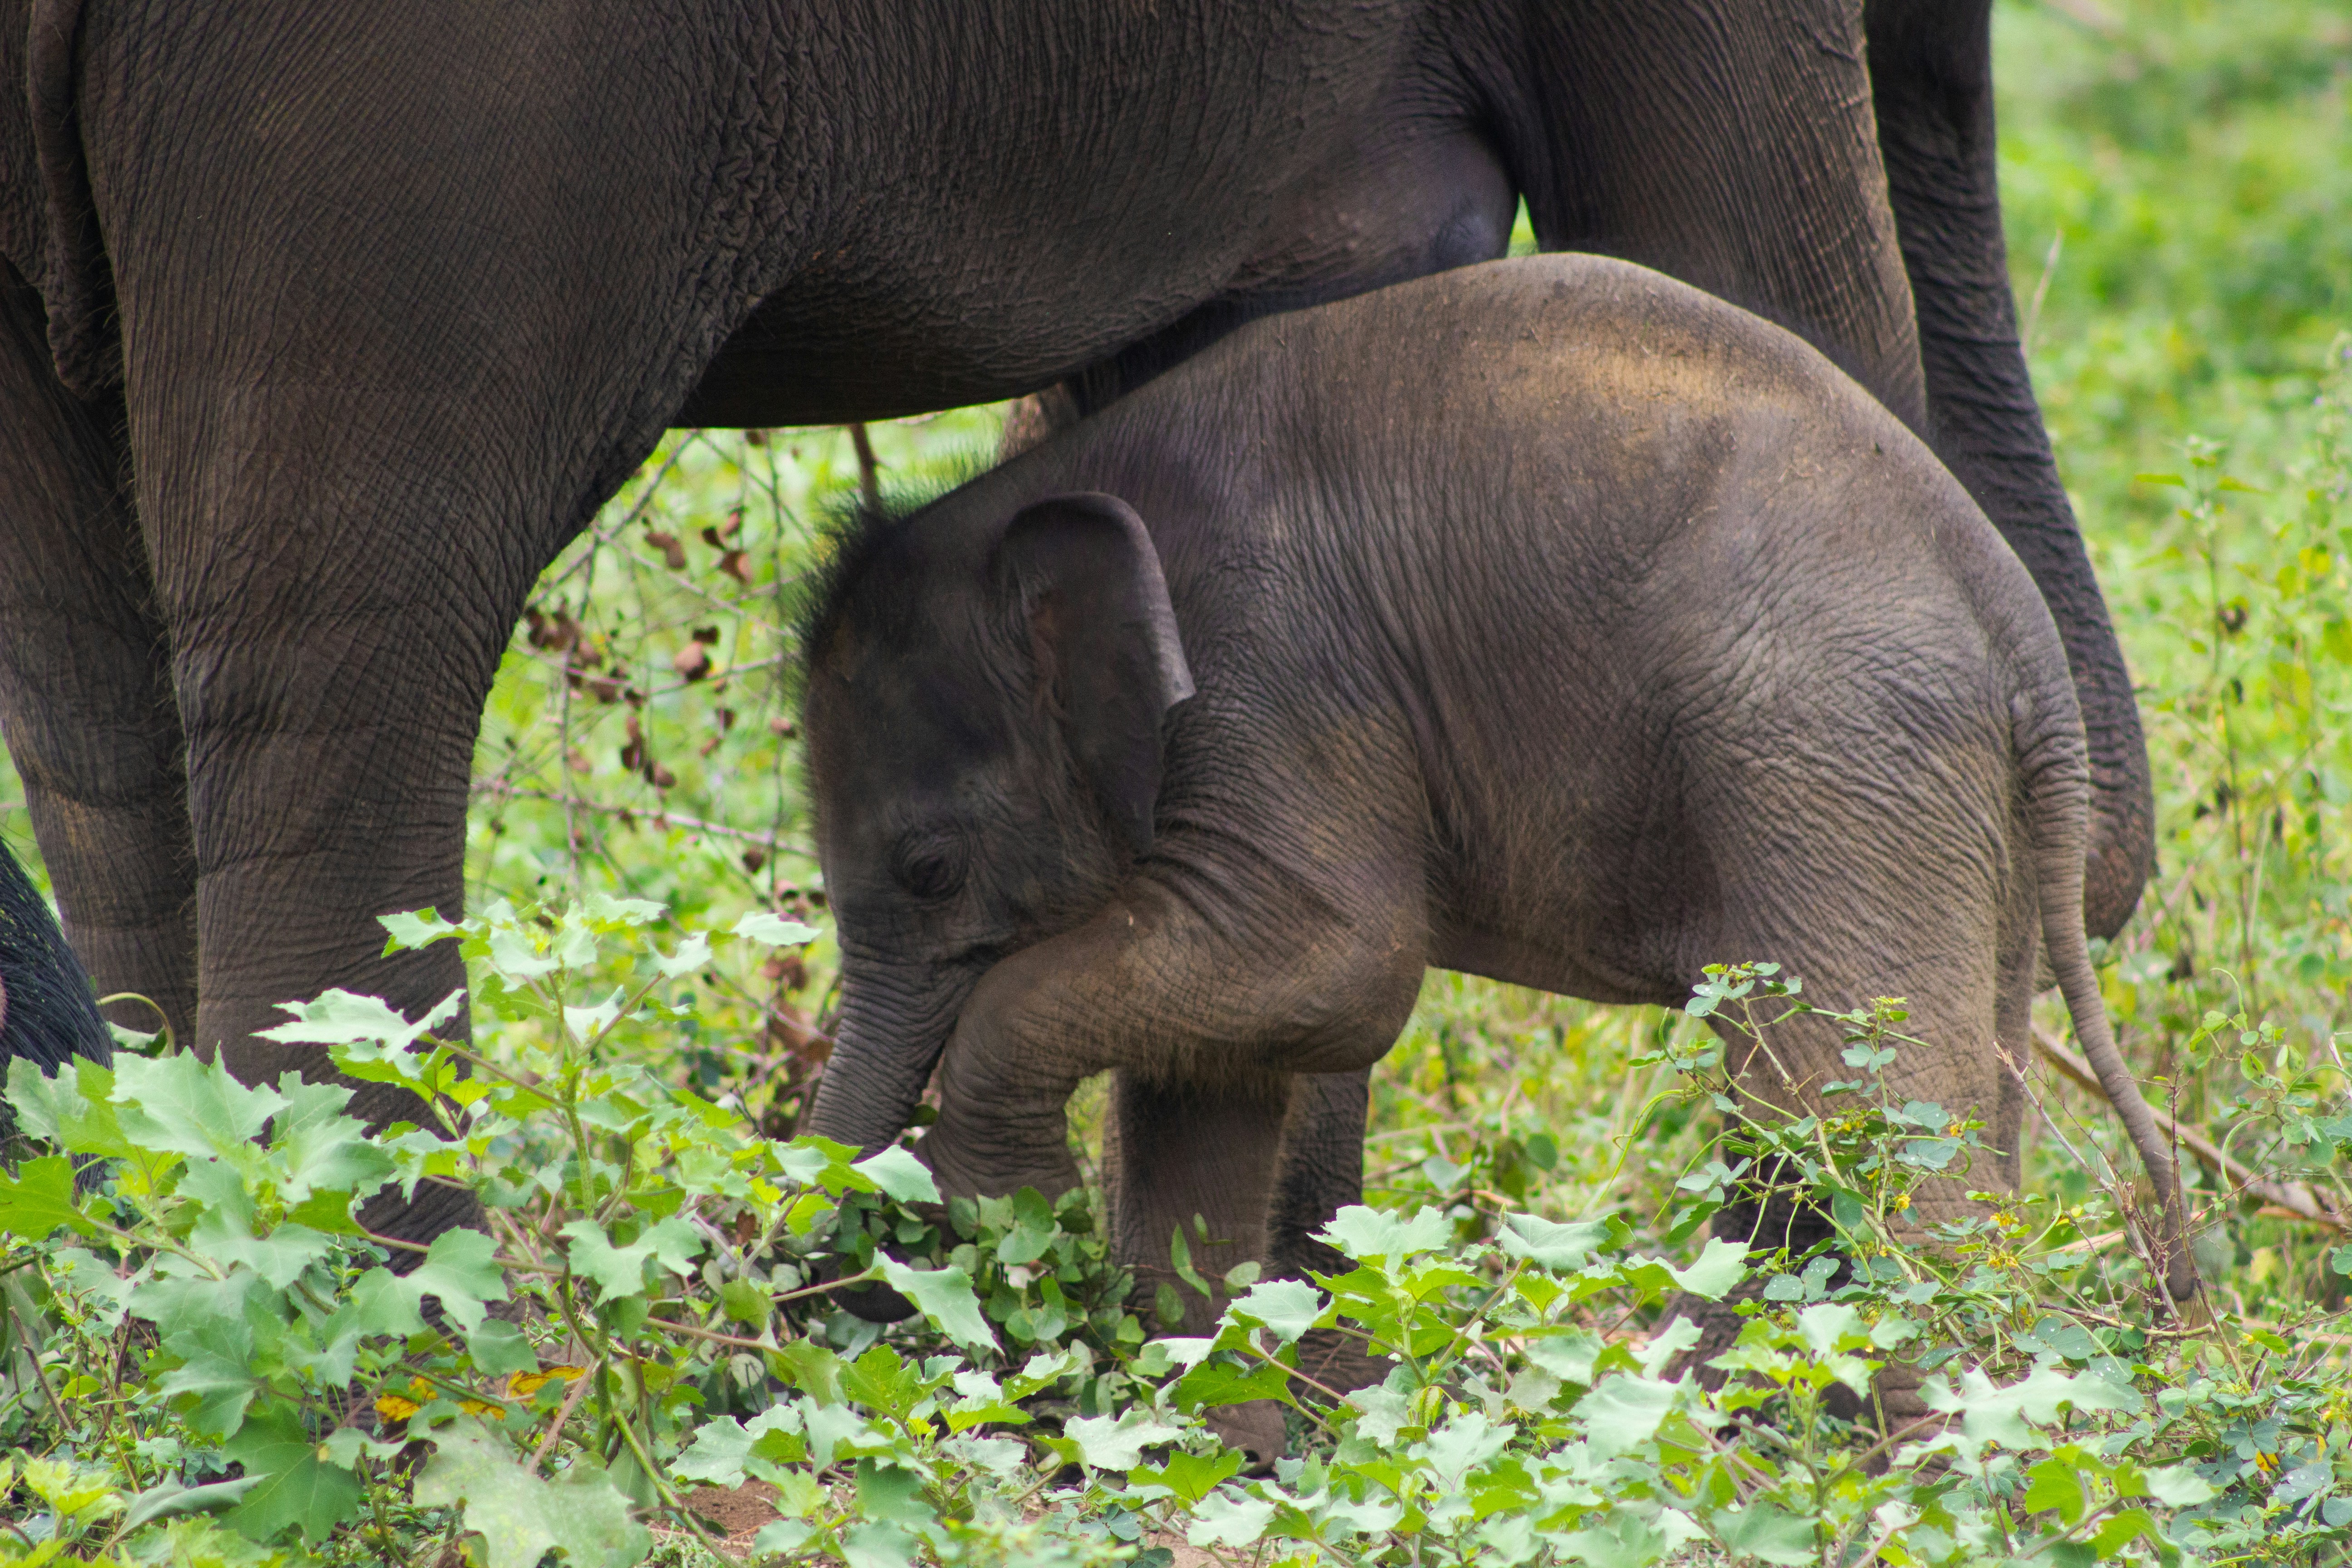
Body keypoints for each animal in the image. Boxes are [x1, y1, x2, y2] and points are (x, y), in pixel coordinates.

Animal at [795, 256, 2195, 1388]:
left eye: (929, 869)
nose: (850, 1294)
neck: (1058, 482)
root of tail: (2024, 638)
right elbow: (1219, 1074)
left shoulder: (1279, 672)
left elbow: (1337, 962)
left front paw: (1007, 1223)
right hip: (1943, 815)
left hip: (1836, 753)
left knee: (1846, 1107)